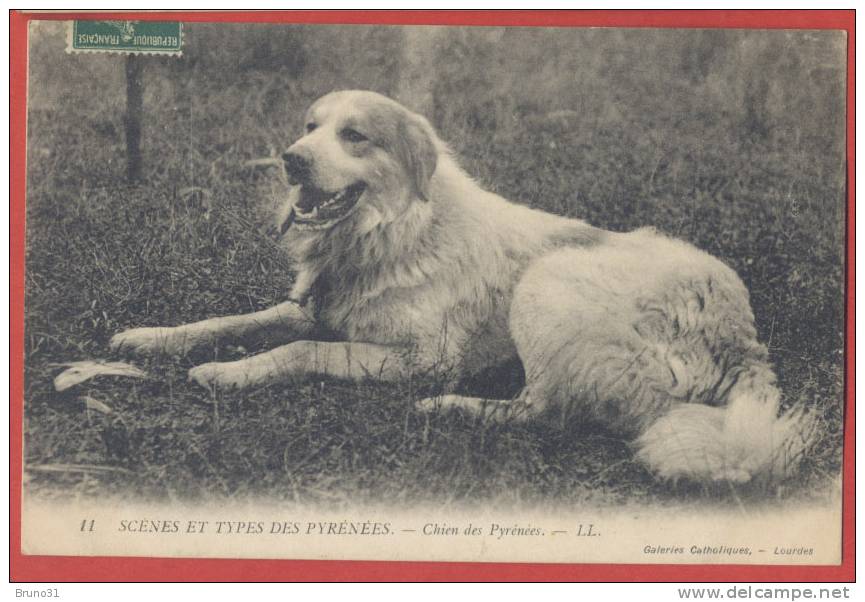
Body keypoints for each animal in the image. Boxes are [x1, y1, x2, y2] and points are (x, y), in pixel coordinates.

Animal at [111, 88, 812, 482]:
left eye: (353, 135)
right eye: (310, 127)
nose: (290, 158)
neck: (395, 231)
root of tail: (745, 339)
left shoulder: (421, 358)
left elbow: (297, 350)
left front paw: (228, 373)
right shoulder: (309, 308)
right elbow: (230, 323)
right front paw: (150, 338)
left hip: (545, 284)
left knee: (544, 412)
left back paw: (450, 409)